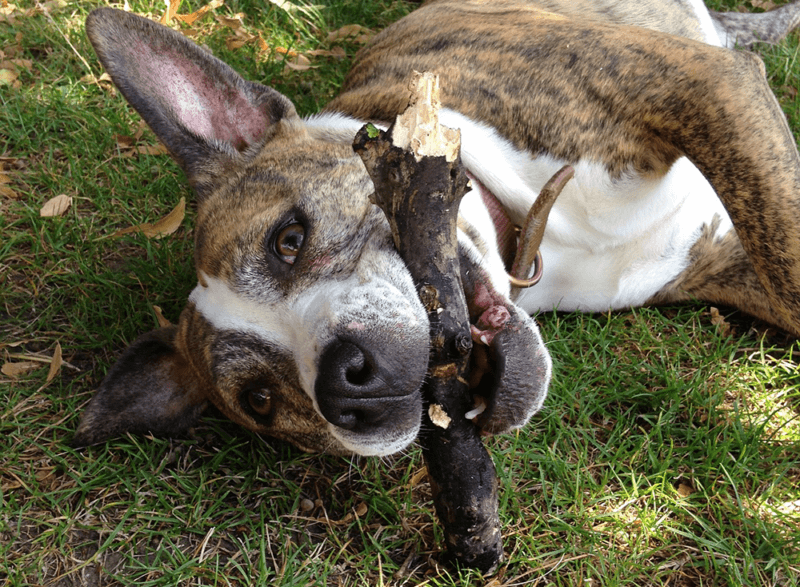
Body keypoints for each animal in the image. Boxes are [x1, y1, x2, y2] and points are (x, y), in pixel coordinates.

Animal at [73, 1, 800, 460]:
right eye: (258, 399)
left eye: (288, 239)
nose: (346, 382)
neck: (534, 232)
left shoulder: (703, 86)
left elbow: (788, 268)